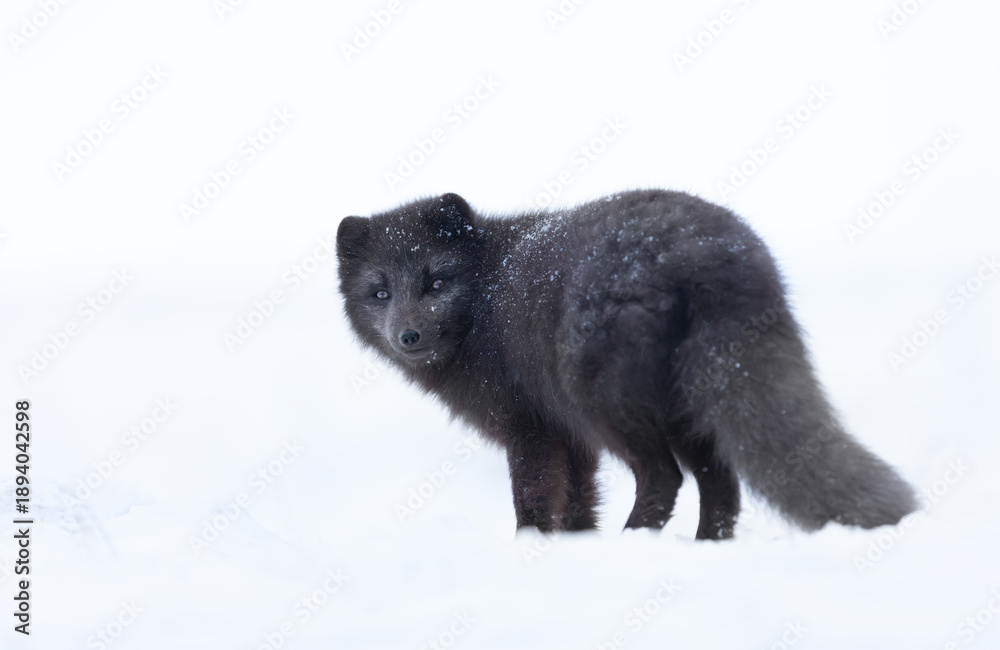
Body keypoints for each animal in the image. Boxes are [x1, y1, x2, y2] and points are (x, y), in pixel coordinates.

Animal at [335, 190, 917, 539]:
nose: (408, 335)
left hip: (609, 404)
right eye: (380, 292)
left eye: (436, 282)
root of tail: (703, 252)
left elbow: (533, 500)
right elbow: (576, 500)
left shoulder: (532, 427)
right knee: (721, 484)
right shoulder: (570, 435)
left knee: (665, 478)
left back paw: (636, 539)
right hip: (688, 404)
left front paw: (531, 550)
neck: (484, 296)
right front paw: (575, 546)